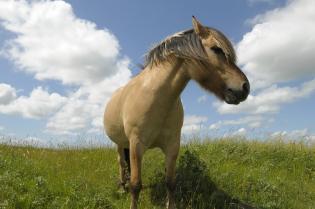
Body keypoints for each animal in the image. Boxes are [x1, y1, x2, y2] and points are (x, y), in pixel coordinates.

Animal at [105, 16, 251, 209]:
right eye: (216, 49)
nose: (245, 87)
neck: (156, 97)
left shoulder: (173, 145)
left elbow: (171, 182)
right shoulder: (136, 144)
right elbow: (136, 185)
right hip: (120, 144)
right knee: (121, 163)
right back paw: (122, 187)